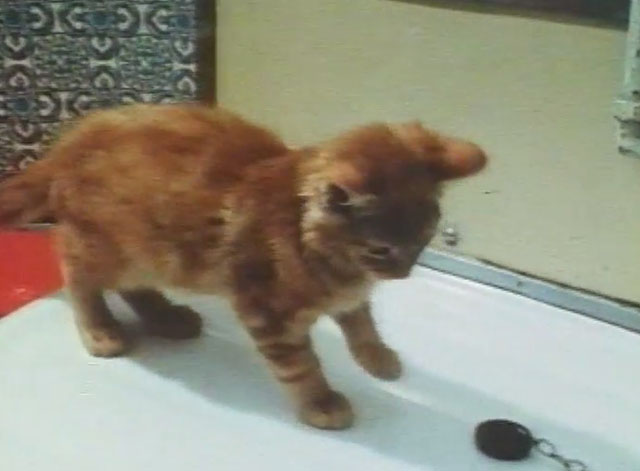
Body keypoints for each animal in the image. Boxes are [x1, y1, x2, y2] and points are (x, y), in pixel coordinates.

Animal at [0, 105, 484, 430]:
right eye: (382, 249)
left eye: (424, 239)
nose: (402, 274)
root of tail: (76, 136)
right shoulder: (267, 313)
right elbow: (300, 365)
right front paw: (321, 402)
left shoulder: (348, 297)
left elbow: (361, 323)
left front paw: (379, 360)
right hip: (108, 248)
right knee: (77, 274)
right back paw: (101, 329)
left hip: (154, 255)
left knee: (134, 286)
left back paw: (167, 317)